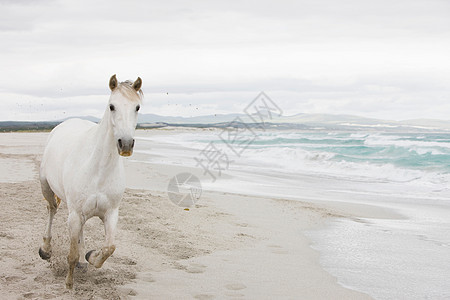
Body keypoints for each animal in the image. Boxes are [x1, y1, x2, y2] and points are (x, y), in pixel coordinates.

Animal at [40, 74, 143, 288]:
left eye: (137, 107)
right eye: (112, 106)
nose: (126, 144)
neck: (98, 169)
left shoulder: (111, 214)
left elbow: (109, 247)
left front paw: (90, 256)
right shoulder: (75, 214)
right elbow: (71, 253)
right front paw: (69, 285)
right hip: (46, 187)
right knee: (51, 210)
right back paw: (45, 249)